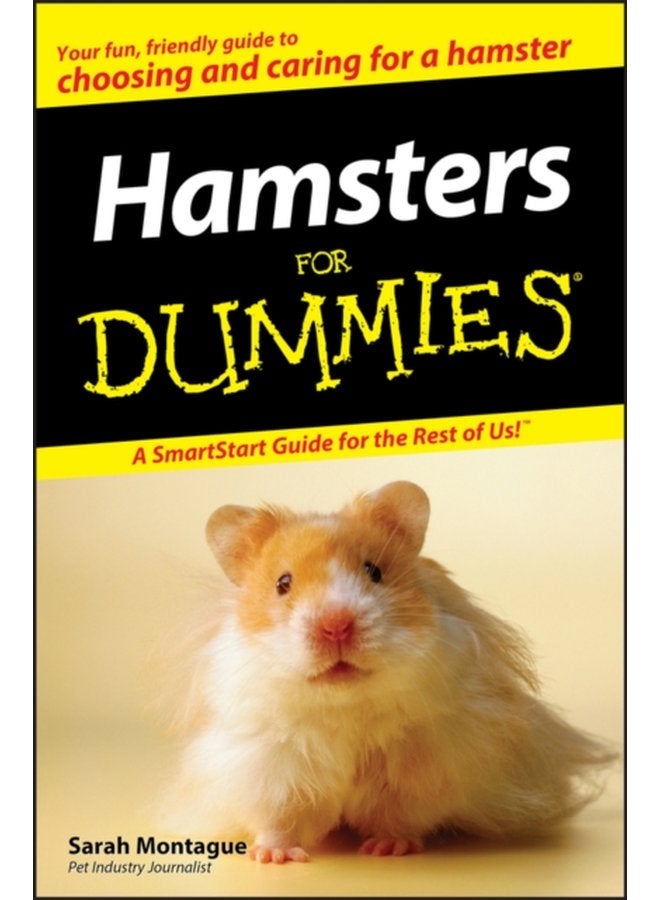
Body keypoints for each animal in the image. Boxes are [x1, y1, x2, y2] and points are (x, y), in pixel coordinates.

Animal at [166, 481, 616, 863]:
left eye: (374, 571)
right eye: (282, 583)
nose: (336, 625)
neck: (344, 704)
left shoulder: (425, 762)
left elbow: (400, 814)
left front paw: (387, 849)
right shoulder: (268, 762)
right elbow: (278, 816)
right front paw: (275, 856)